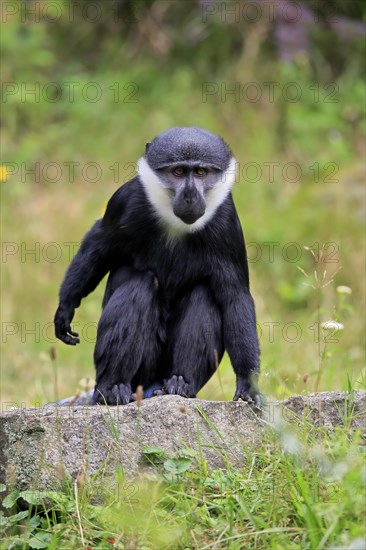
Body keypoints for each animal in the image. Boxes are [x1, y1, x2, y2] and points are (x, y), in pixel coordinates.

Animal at [53, 127, 260, 408]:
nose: (190, 196)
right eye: (179, 172)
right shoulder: (124, 201)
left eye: (201, 172)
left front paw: (248, 386)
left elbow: (235, 296)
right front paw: (65, 308)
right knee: (142, 284)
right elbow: (99, 245)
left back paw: (180, 383)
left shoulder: (227, 224)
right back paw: (112, 389)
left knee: (204, 292)